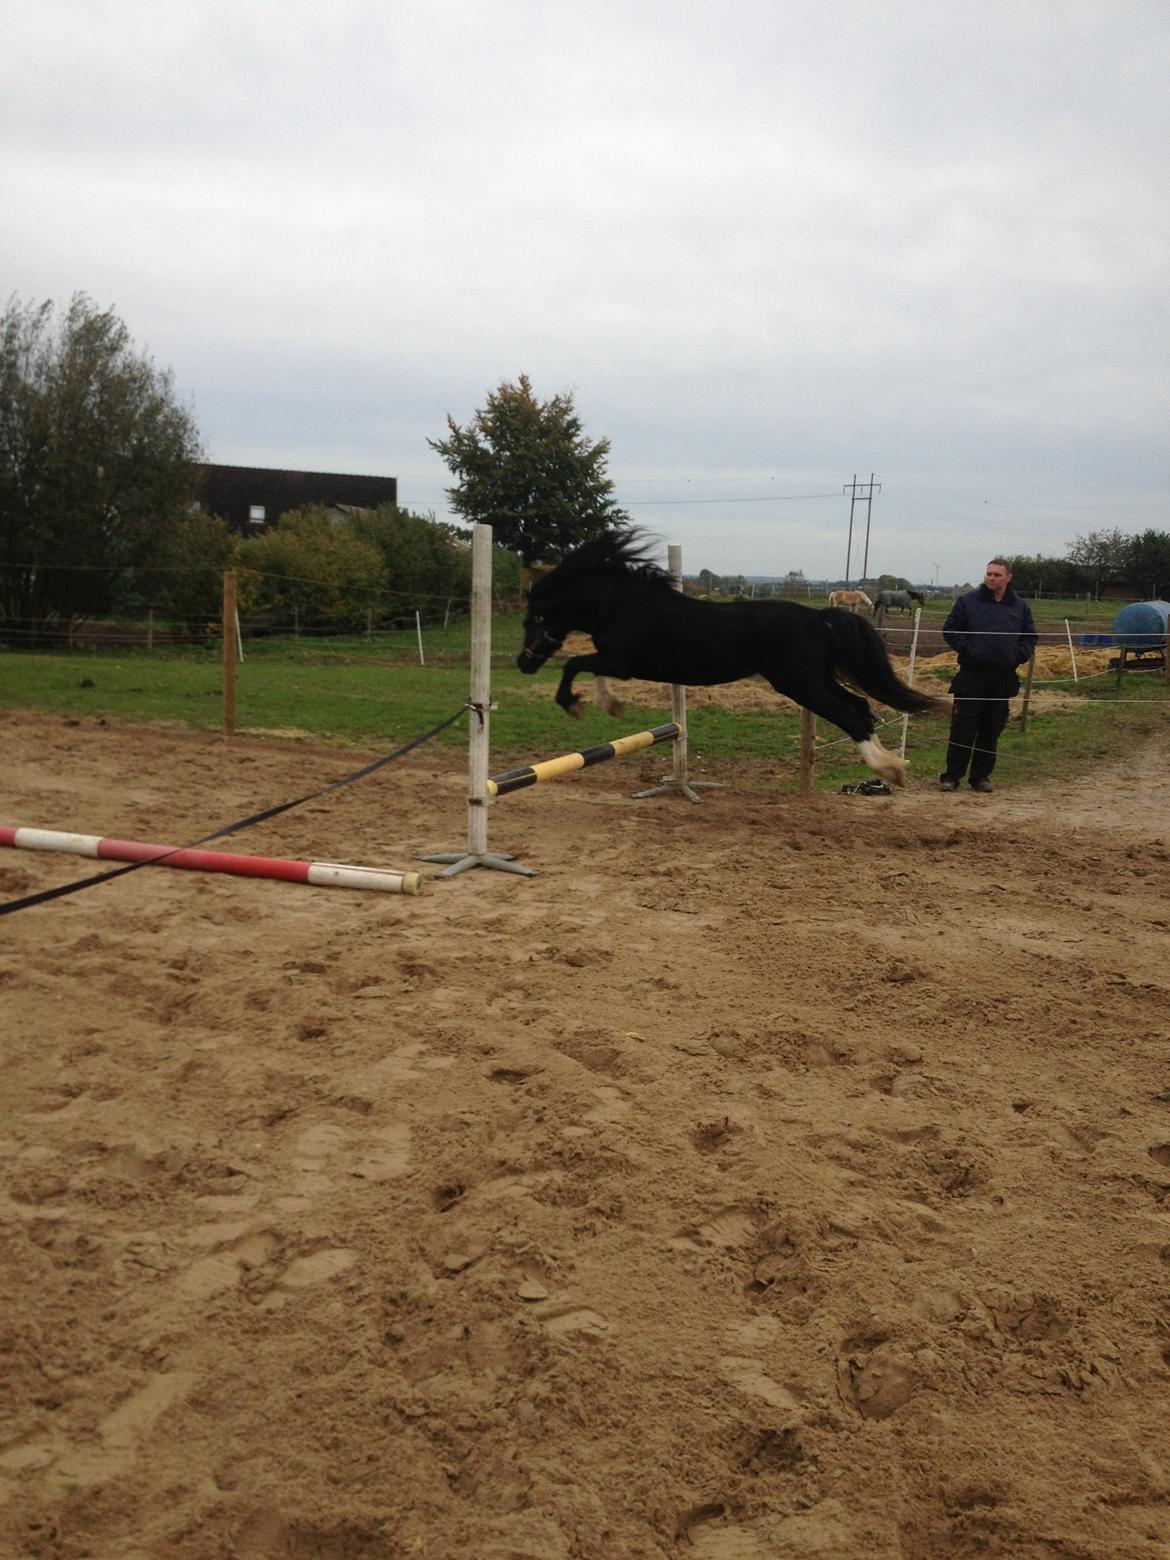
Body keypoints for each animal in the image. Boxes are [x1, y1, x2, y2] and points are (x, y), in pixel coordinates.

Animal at [517, 533, 948, 780]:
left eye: (533, 618)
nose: (523, 663)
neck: (622, 604)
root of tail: (819, 616)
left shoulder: (622, 661)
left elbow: (575, 664)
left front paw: (574, 704)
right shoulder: (616, 661)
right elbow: (590, 669)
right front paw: (611, 705)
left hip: (800, 684)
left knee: (850, 716)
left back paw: (888, 769)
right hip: (819, 679)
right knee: (860, 707)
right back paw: (895, 766)